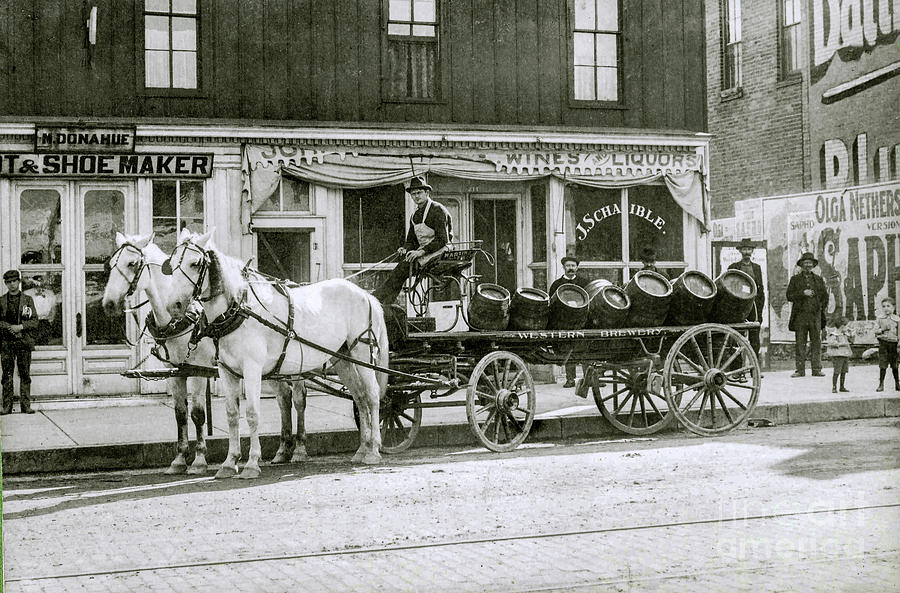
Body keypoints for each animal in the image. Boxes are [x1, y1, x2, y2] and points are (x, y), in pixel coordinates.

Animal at [102, 234, 310, 474]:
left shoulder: (197, 369)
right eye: (110, 264)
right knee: (283, 398)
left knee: (298, 399)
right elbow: (180, 414)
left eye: (132, 263)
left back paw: (299, 449)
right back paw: (283, 450)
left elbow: (197, 413)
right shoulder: (176, 371)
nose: (108, 304)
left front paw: (199, 460)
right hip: (273, 366)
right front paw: (179, 459)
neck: (178, 320)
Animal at [162, 227, 386, 476]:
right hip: (344, 358)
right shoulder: (226, 371)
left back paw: (374, 450)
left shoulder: (252, 369)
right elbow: (232, 414)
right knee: (360, 397)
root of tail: (365, 294)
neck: (238, 311)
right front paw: (230, 462)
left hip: (363, 354)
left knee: (372, 395)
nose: (174, 305)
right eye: (170, 264)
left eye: (195, 263)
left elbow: (252, 413)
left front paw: (252, 462)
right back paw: (362, 449)